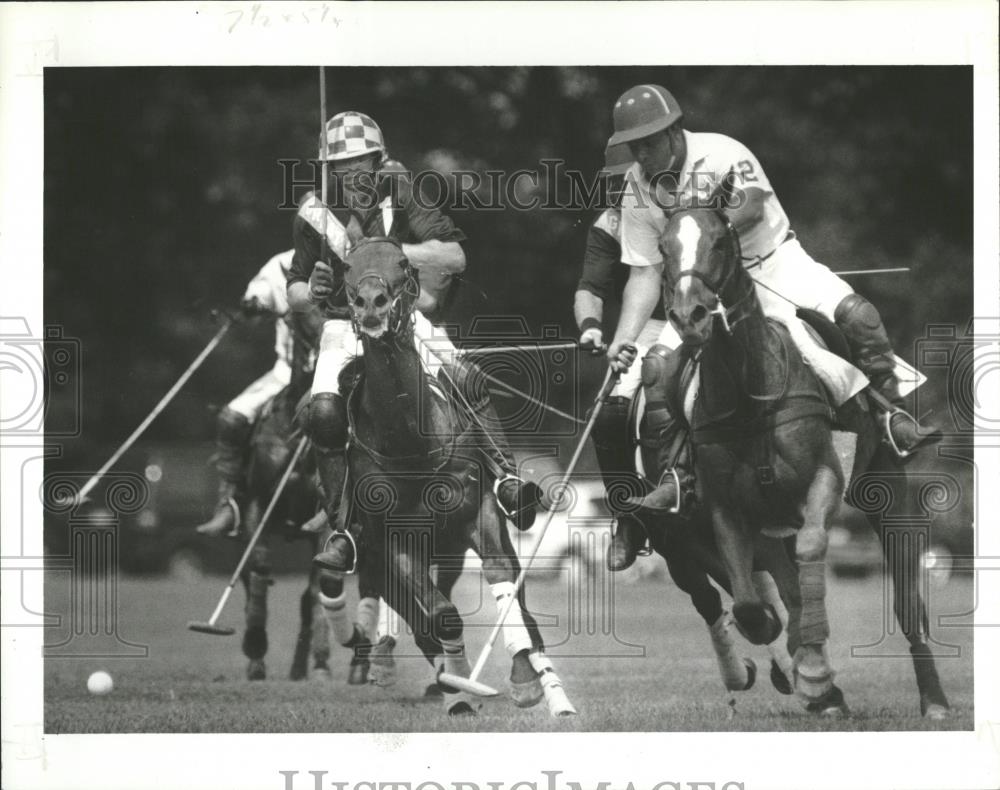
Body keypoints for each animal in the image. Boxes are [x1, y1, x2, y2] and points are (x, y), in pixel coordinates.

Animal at [660, 209, 948, 716]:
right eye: (662, 246)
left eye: (719, 242)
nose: (689, 316)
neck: (749, 393)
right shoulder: (727, 509)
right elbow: (753, 605)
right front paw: (803, 666)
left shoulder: (824, 478)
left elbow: (812, 547)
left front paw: (813, 673)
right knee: (783, 588)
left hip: (885, 485)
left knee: (907, 597)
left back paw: (933, 701)